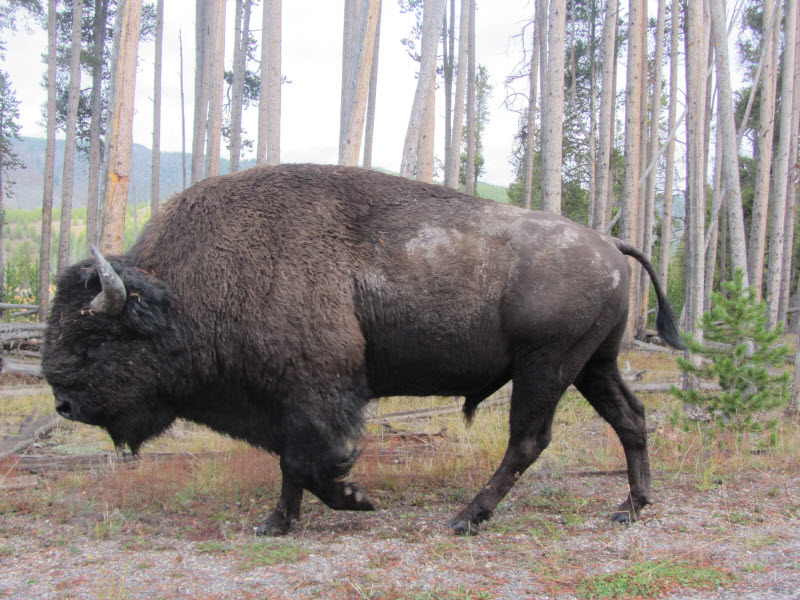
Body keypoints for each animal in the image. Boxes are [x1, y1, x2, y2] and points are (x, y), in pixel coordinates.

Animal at [42, 164, 684, 536]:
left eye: (94, 338)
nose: (63, 404)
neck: (180, 292)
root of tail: (609, 242)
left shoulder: (319, 395)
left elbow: (308, 461)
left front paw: (355, 499)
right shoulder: (288, 403)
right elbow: (289, 464)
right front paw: (276, 524)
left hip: (546, 367)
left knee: (529, 439)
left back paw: (466, 518)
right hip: (592, 365)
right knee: (630, 418)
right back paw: (631, 506)